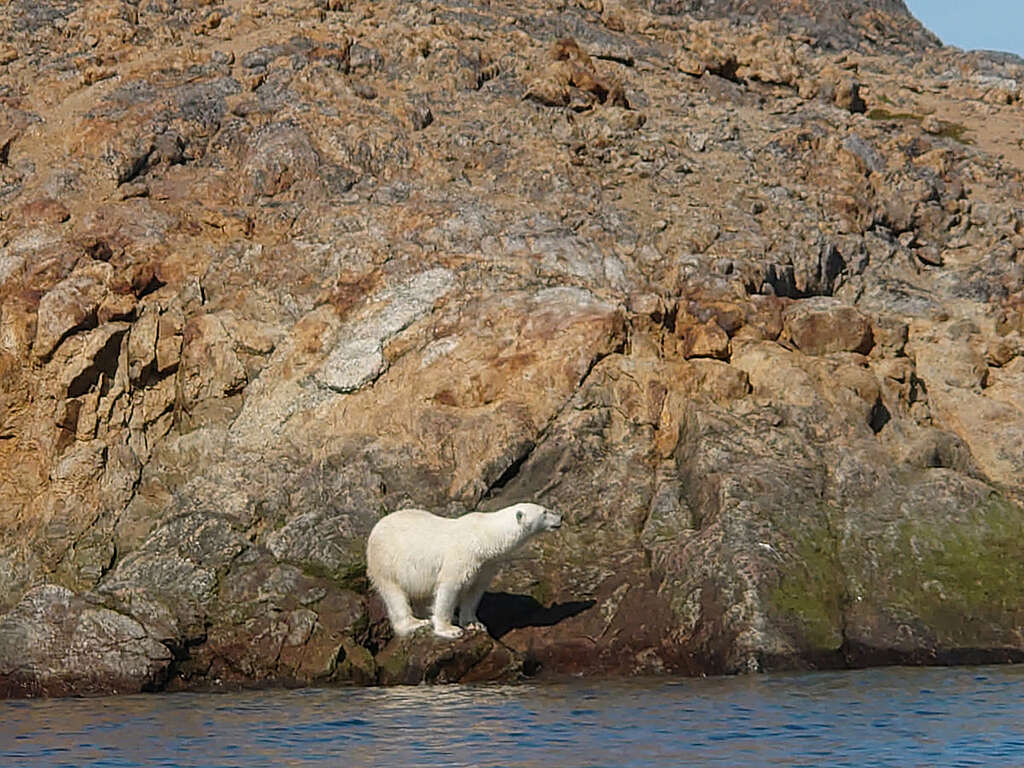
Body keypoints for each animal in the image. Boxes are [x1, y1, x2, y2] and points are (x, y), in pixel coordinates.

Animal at [366, 505, 565, 638]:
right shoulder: (462, 556)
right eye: (544, 512)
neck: (484, 537)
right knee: (394, 594)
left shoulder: (486, 564)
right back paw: (415, 623)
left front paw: (474, 624)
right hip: (386, 560)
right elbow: (449, 587)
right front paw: (450, 630)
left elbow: (475, 591)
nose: (561, 516)